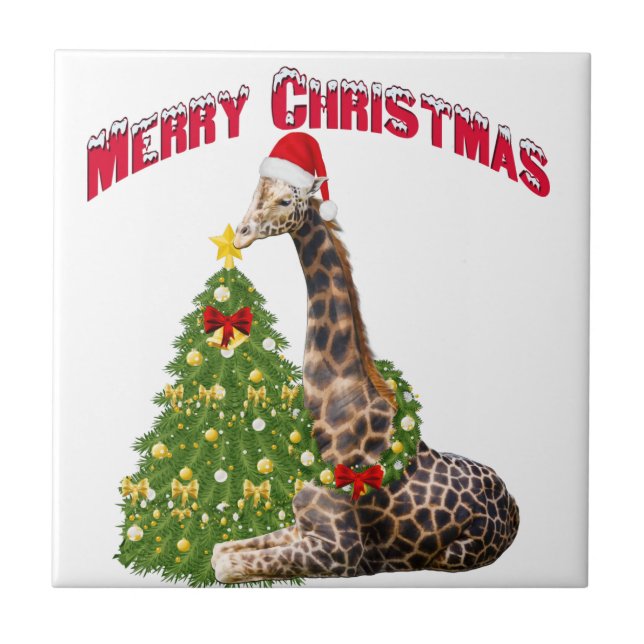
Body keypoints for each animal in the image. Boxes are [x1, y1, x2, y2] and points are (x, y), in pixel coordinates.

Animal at [210, 175, 519, 584]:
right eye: (254, 194)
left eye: (284, 200)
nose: (242, 234)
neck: (332, 412)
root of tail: (515, 504)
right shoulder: (303, 527)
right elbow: (221, 550)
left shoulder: (340, 552)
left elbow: (226, 566)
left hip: (456, 554)